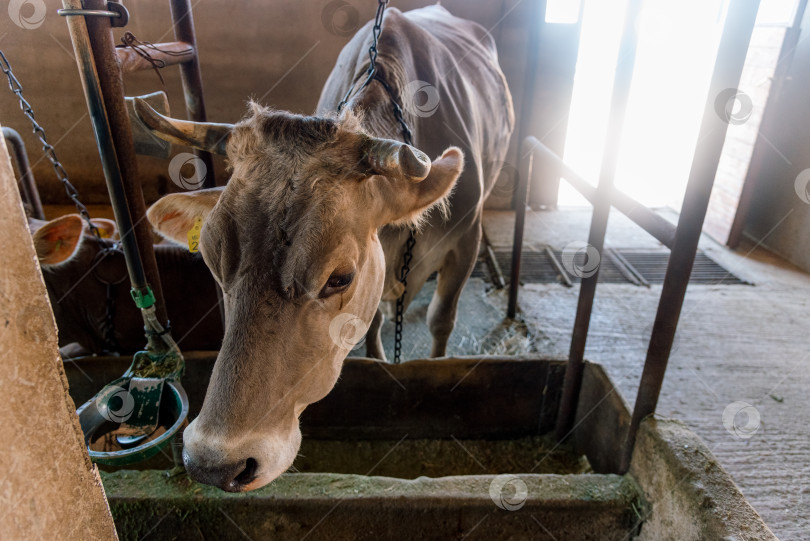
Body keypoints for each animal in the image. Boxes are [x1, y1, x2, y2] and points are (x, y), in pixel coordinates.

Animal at [136, 5, 514, 491]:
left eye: (339, 278)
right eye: (214, 265)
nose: (213, 463)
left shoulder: (465, 243)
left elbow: (441, 320)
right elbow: (373, 328)